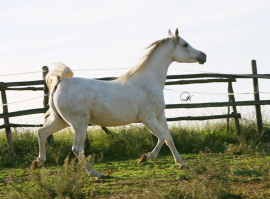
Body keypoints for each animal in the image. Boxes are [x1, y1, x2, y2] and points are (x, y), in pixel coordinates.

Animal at [32, 28, 208, 179]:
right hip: (78, 123)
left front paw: (182, 164)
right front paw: (145, 157)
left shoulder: (160, 115)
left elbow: (170, 139)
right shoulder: (147, 117)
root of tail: (61, 82)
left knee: (42, 133)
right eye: (185, 44)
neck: (148, 81)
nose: (204, 56)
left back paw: (37, 162)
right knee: (77, 149)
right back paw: (97, 174)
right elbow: (162, 137)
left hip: (61, 120)